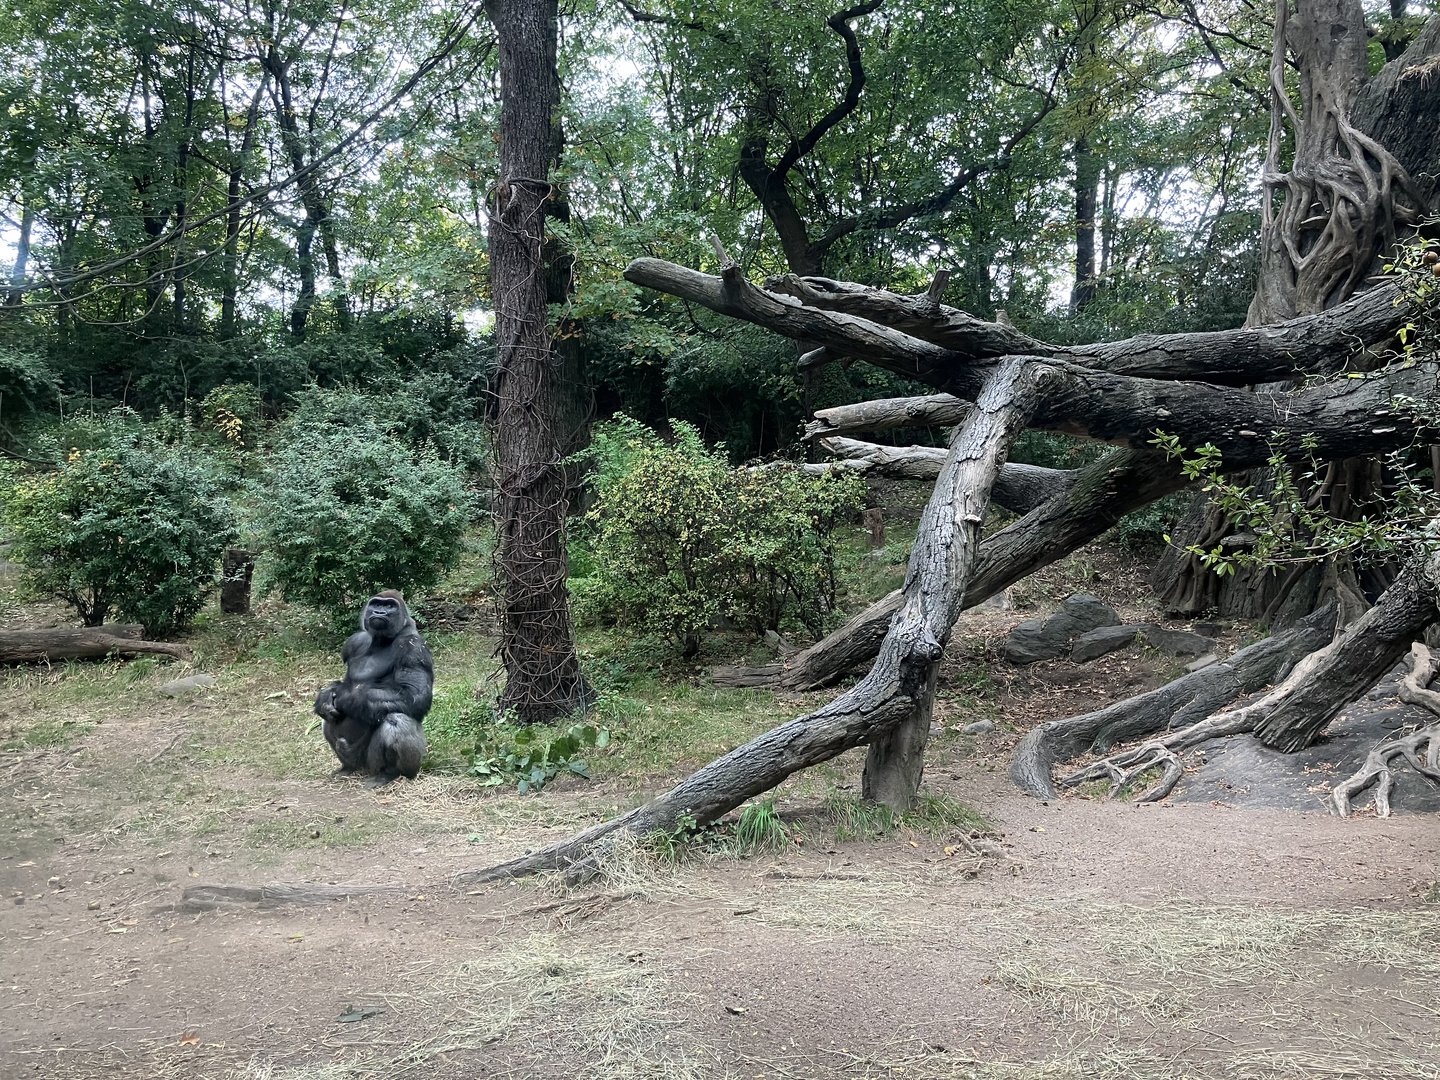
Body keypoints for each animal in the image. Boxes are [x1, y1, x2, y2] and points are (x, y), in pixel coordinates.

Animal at [314, 590, 433, 787]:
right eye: (376, 604)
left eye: (389, 606)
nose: (379, 612)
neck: (379, 641)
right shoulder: (354, 641)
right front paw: (326, 695)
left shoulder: (413, 647)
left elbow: (413, 695)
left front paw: (344, 696)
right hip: (356, 760)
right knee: (328, 722)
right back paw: (346, 767)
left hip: (379, 765)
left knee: (397, 720)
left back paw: (389, 774)